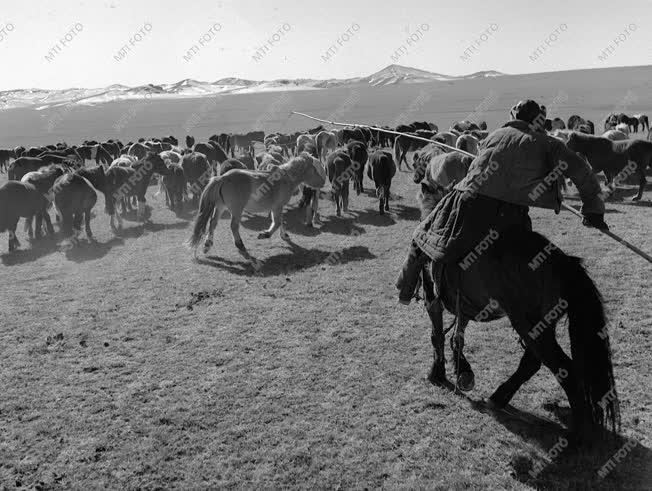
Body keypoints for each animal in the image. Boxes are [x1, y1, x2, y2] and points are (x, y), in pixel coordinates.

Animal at [188, 153, 326, 262]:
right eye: (314, 169)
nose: (323, 182)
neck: (285, 178)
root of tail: (222, 178)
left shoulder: (277, 207)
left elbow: (281, 221)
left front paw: (284, 236)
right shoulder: (277, 206)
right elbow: (277, 222)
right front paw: (264, 234)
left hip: (221, 207)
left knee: (213, 223)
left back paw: (207, 245)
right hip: (236, 210)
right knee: (233, 226)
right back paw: (240, 245)